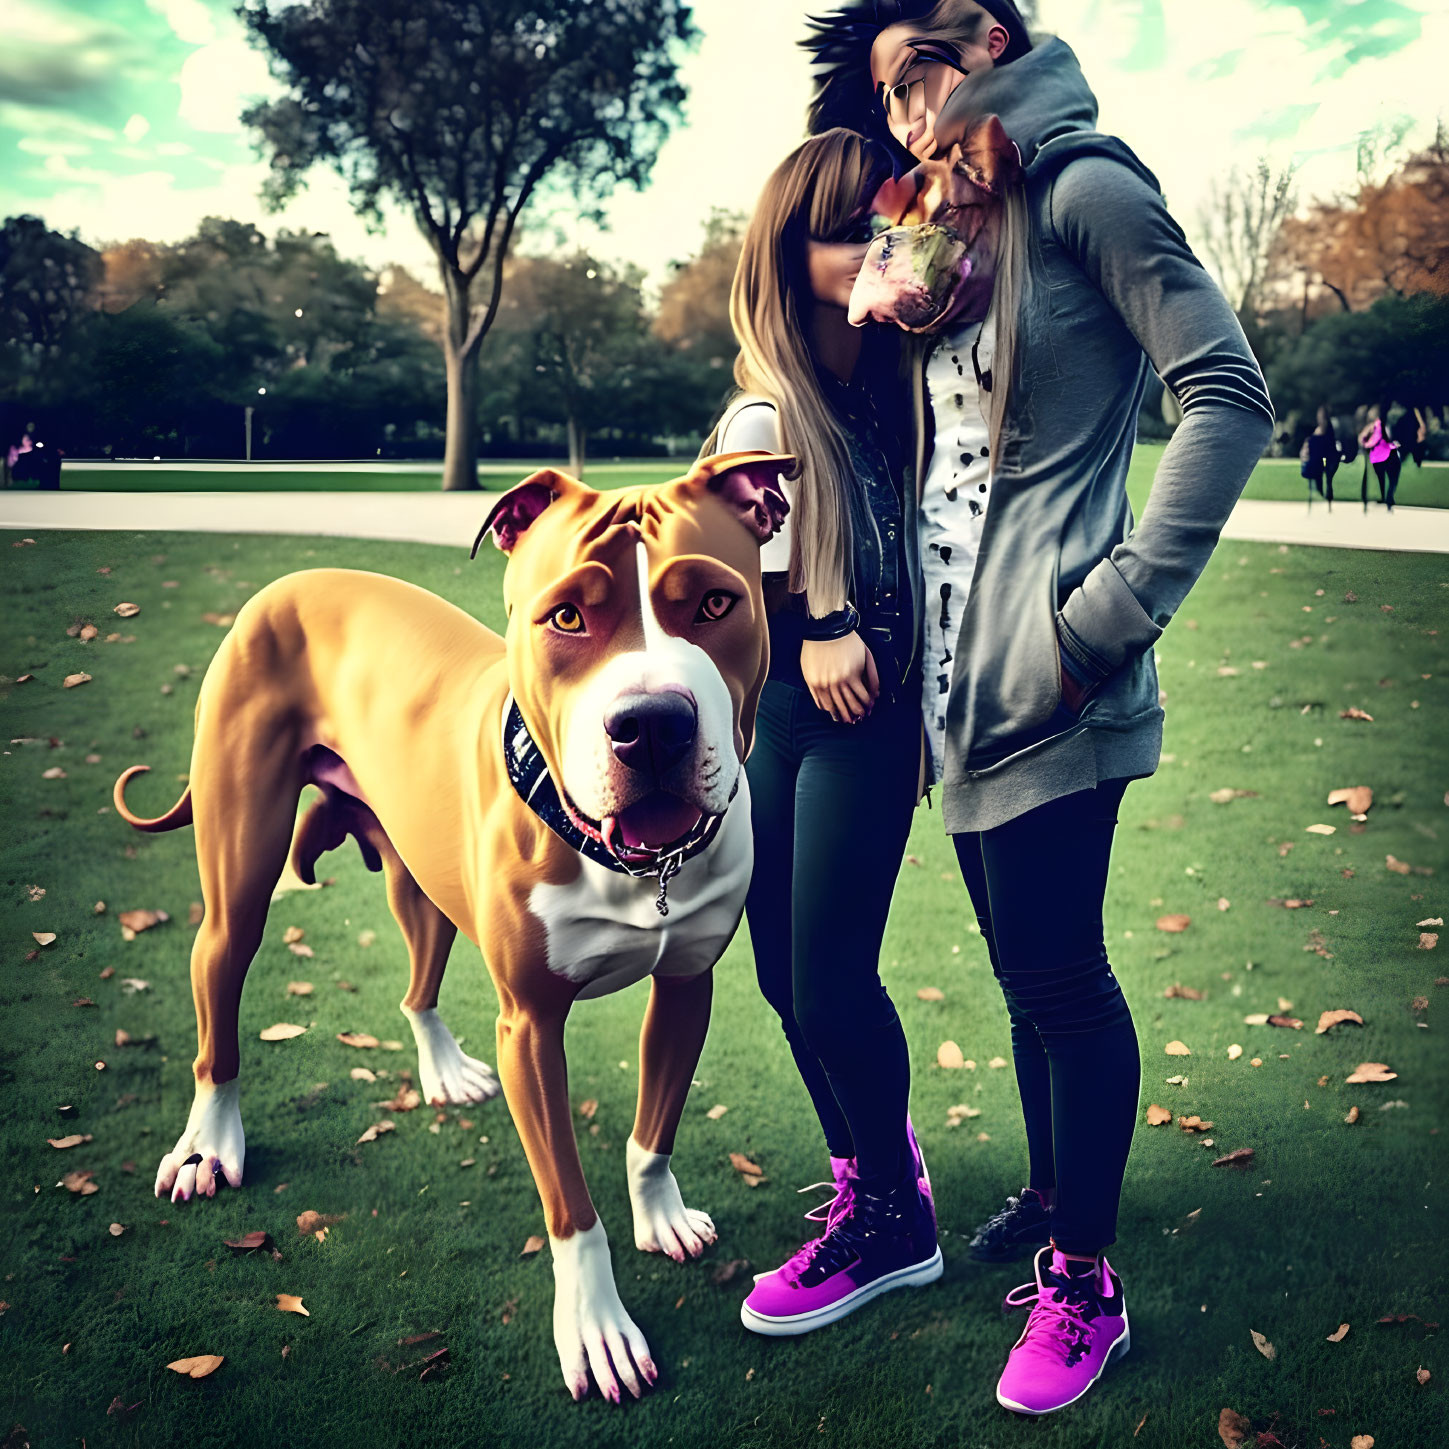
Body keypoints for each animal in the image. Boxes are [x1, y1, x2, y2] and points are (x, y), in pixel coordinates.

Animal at [113, 452, 794, 1402]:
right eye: (567, 615)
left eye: (714, 604)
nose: (651, 724)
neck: (629, 865)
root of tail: (292, 579)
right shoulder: (531, 1028)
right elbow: (570, 1206)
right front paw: (596, 1328)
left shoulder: (686, 983)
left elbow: (654, 1130)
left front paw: (658, 1214)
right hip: (238, 876)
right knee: (219, 982)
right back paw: (208, 1142)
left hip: (421, 878)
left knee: (417, 985)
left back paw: (440, 1068)